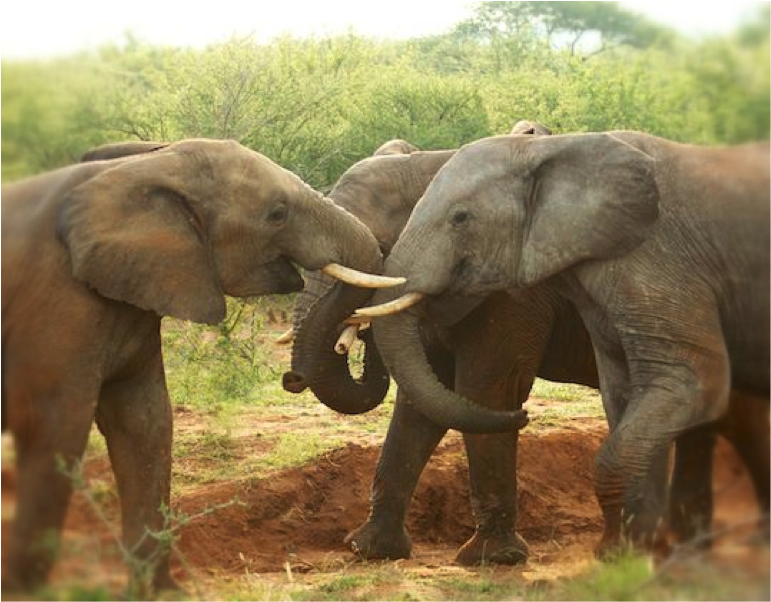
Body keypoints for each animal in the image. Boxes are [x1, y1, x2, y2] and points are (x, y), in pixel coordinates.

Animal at [0, 138, 398, 595]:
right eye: (277, 213)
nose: (291, 377)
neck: (143, 166)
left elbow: (146, 423)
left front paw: (160, 593)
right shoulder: (57, 300)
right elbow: (55, 427)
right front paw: (27, 592)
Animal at [284, 128, 771, 564]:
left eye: (379, 249)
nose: (291, 378)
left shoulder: (513, 297)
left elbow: (484, 393)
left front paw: (492, 559)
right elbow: (422, 407)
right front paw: (368, 550)